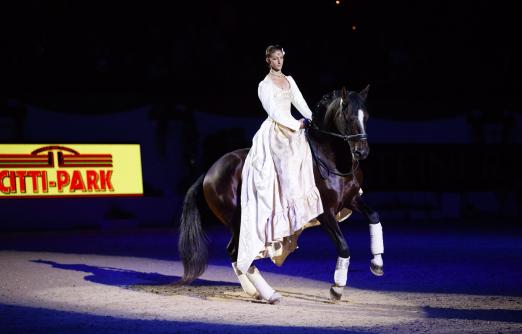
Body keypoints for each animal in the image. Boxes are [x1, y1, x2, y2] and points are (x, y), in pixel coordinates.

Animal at [177, 85, 380, 302]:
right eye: (348, 117)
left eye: (367, 116)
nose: (361, 152)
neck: (331, 159)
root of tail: (210, 171)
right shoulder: (325, 211)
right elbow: (343, 246)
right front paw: (337, 288)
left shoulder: (351, 199)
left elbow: (374, 216)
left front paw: (377, 264)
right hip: (238, 221)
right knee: (237, 252)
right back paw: (270, 295)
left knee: (235, 253)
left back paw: (254, 291)